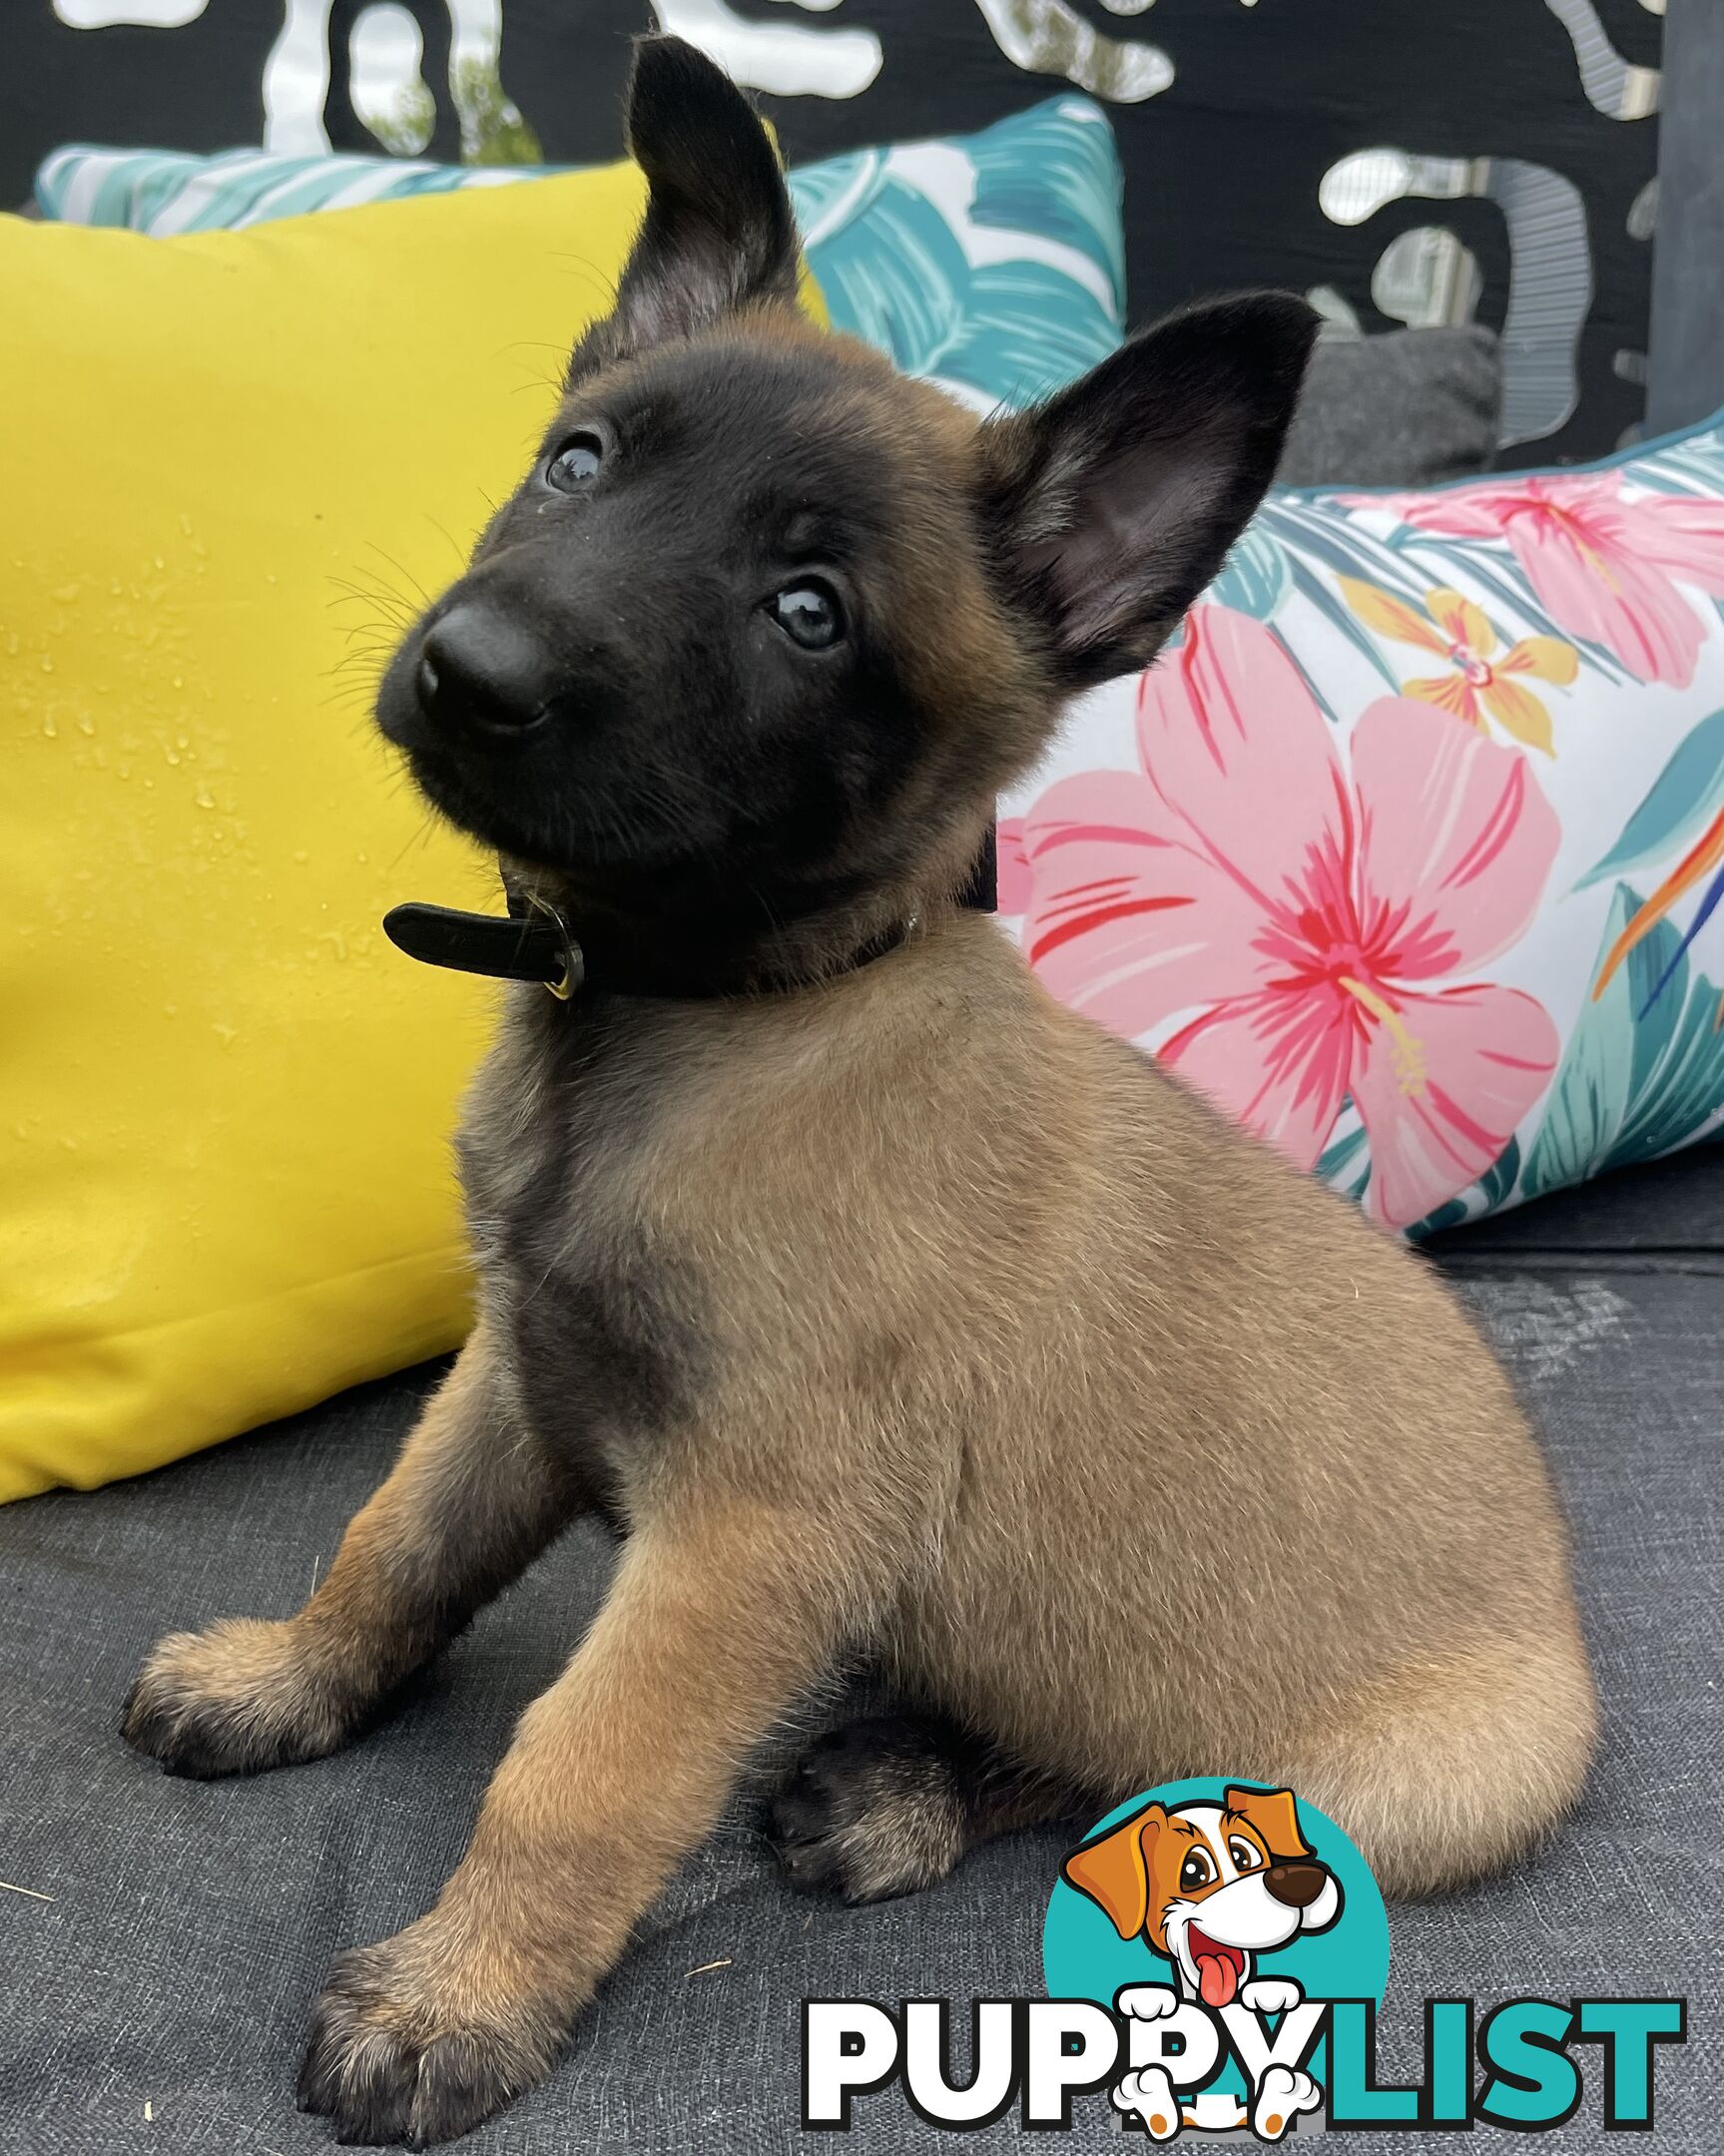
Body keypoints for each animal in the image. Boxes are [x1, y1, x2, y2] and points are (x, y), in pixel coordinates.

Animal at [118, 33, 1603, 2138]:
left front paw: (456, 1996)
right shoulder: (519, 1364)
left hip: (1374, 1786)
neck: (724, 1008)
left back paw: (904, 1800)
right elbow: (392, 1545)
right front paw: (282, 1680)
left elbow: (578, 1768)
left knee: (1143, 1790)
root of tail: (1553, 1607)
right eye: (581, 463)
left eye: (808, 611)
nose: (470, 672)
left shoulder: (747, 1541)